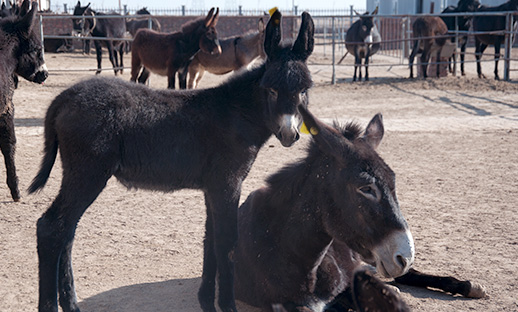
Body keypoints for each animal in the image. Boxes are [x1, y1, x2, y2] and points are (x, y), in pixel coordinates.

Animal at [29, 8, 316, 312]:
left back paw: (71, 303)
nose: (289, 134)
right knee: (51, 228)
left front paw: (206, 301)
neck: (238, 114)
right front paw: (226, 305)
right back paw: (51, 305)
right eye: (271, 89)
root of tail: (65, 96)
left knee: (66, 232)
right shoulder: (228, 182)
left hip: (81, 174)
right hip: (88, 172)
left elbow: (210, 239)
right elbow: (227, 242)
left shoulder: (213, 187)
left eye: (304, 90)